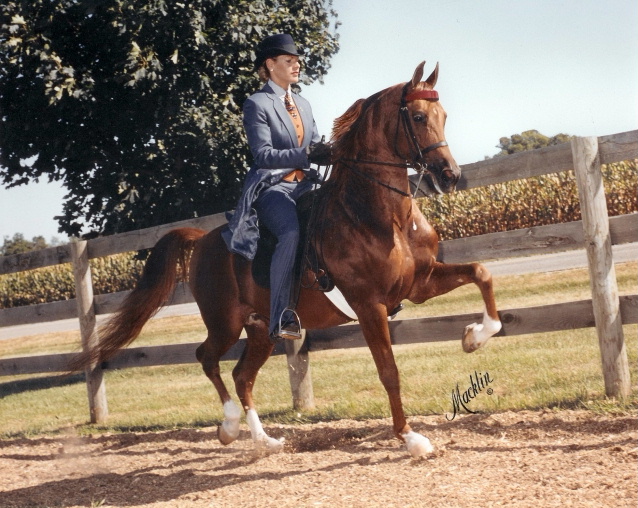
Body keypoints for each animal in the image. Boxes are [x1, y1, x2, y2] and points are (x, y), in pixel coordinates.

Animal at [75, 61, 502, 458]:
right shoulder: (369, 305)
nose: (450, 176)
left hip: (261, 329)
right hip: (225, 322)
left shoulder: (420, 283)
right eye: (417, 117)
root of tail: (204, 239)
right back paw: (229, 426)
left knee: (242, 375)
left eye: (443, 115)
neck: (382, 217)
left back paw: (264, 440)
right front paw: (411, 438)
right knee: (207, 358)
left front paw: (475, 336)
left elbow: (481, 273)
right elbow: (388, 370)